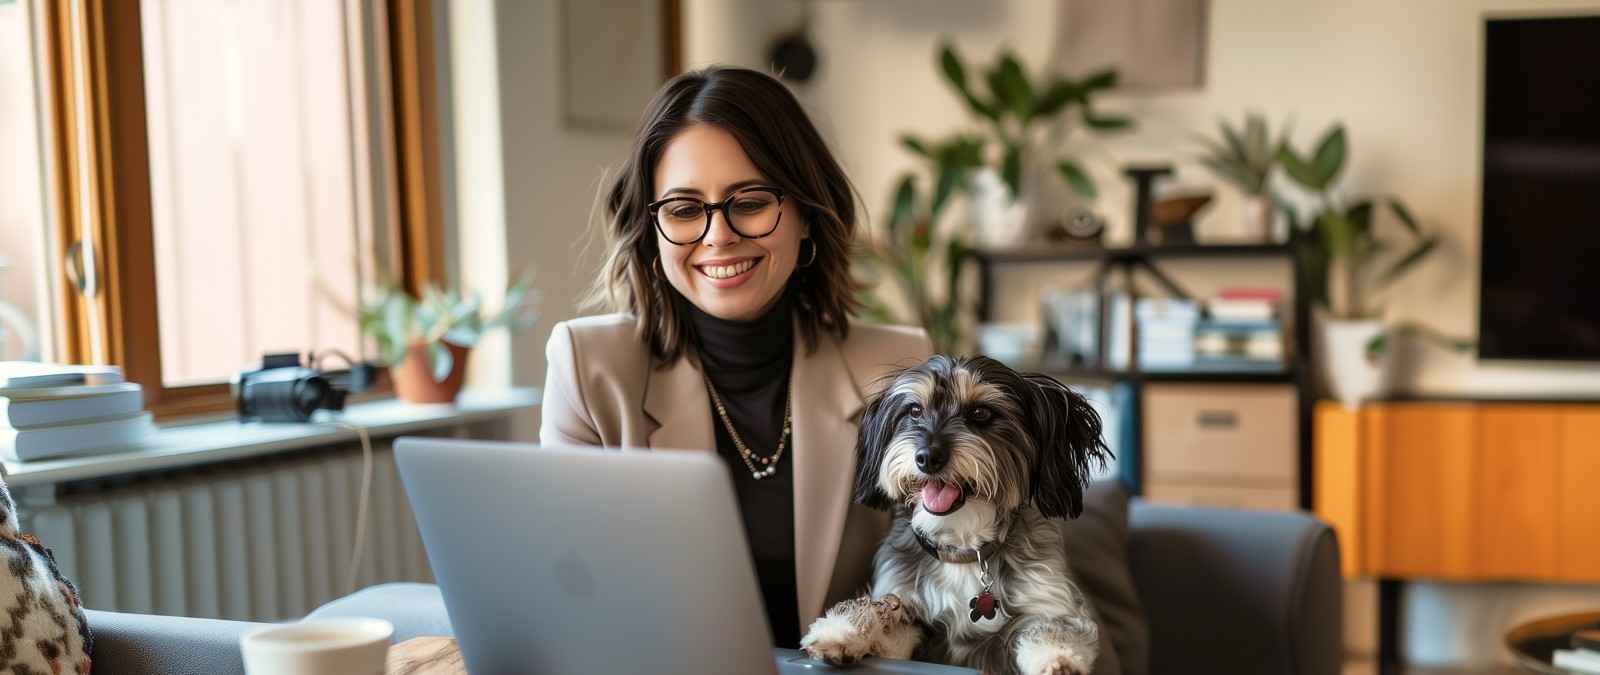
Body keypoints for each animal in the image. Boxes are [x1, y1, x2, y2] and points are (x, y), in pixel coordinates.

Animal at [800, 356, 1113, 671]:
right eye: (915, 411)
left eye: (980, 413)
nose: (927, 458)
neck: (962, 547)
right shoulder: (910, 620)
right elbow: (882, 611)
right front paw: (839, 631)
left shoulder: (1045, 601)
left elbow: (1052, 628)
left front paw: (1059, 659)